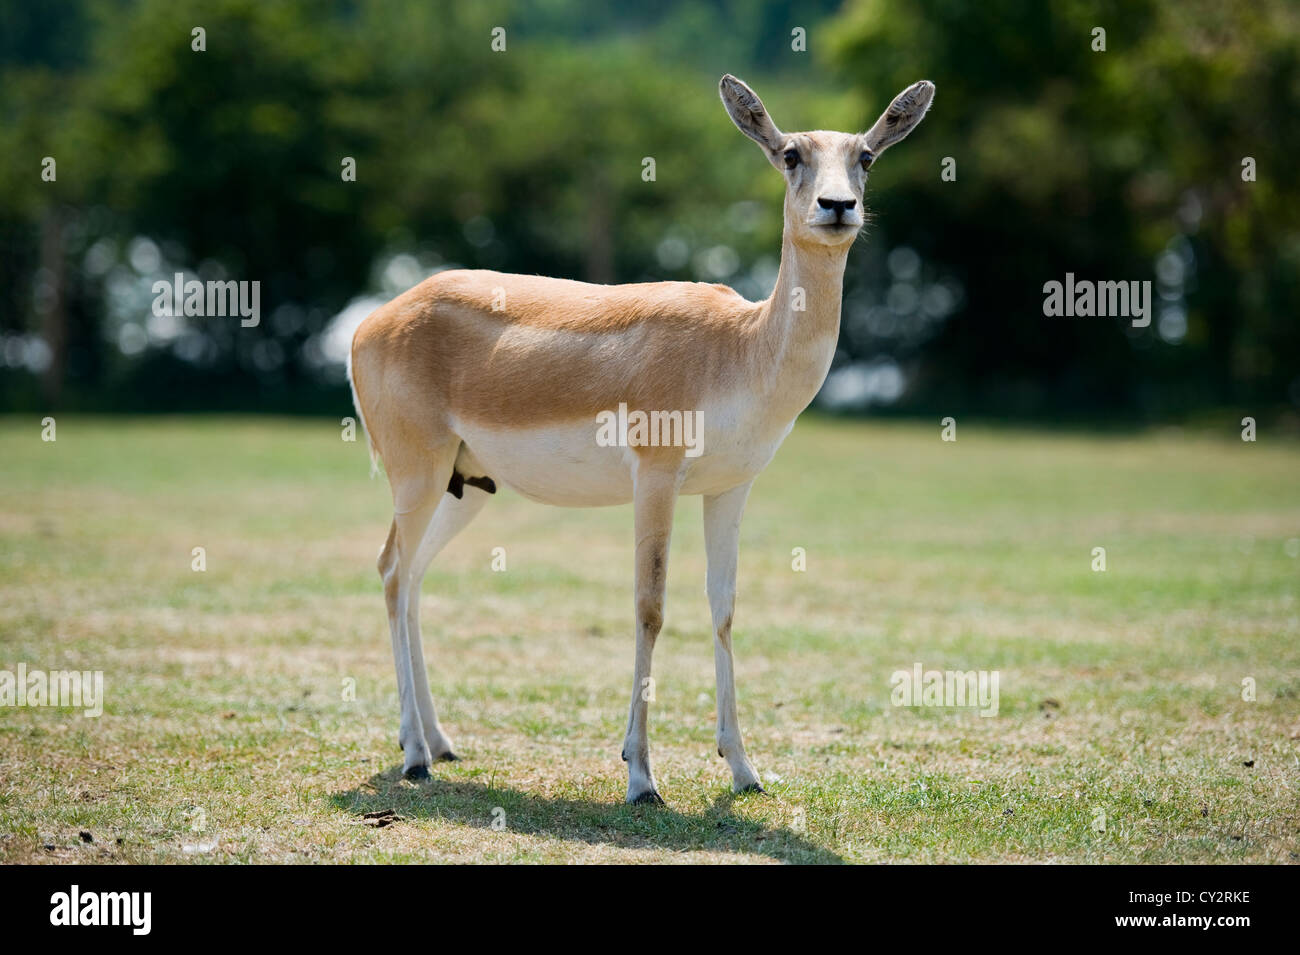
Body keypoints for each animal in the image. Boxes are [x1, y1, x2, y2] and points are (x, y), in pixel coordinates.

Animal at [348, 74, 934, 804]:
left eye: (867, 157)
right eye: (792, 154)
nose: (837, 206)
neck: (740, 346)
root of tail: (371, 321)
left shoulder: (731, 487)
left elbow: (724, 608)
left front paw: (743, 769)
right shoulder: (656, 478)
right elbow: (650, 607)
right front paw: (641, 776)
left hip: (468, 486)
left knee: (415, 576)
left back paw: (439, 742)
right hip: (417, 473)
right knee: (393, 571)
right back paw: (413, 756)